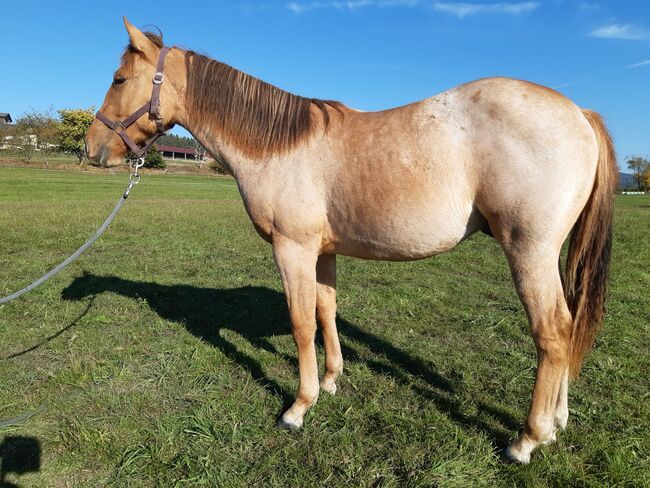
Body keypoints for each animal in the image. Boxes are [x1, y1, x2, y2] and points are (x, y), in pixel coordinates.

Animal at [85, 18, 618, 464]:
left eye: (118, 79)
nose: (91, 148)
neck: (278, 146)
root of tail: (579, 112)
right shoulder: (322, 252)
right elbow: (327, 311)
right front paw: (332, 381)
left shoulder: (292, 250)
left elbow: (301, 323)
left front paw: (298, 408)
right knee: (568, 327)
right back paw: (557, 423)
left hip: (529, 250)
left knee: (552, 333)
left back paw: (527, 439)